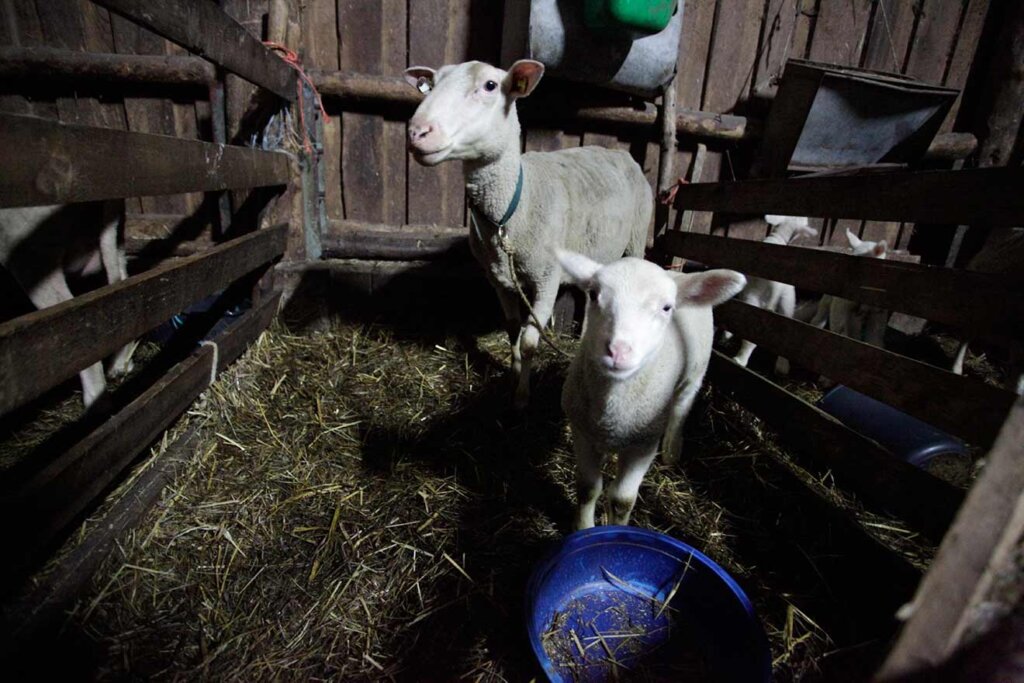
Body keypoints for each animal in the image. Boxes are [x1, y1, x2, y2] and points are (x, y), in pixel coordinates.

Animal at [403, 60, 651, 405]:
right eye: (431, 84)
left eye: (490, 86)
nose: (417, 132)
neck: (509, 213)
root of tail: (622, 154)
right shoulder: (498, 279)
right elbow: (512, 330)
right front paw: (512, 374)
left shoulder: (546, 278)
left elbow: (531, 341)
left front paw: (522, 396)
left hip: (637, 235)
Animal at [557, 250, 749, 528]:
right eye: (593, 294)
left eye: (666, 308)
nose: (618, 351)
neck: (611, 413)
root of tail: (678, 273)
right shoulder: (582, 431)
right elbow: (587, 488)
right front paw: (582, 527)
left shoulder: (644, 444)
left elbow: (622, 500)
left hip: (694, 375)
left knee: (681, 407)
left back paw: (671, 451)